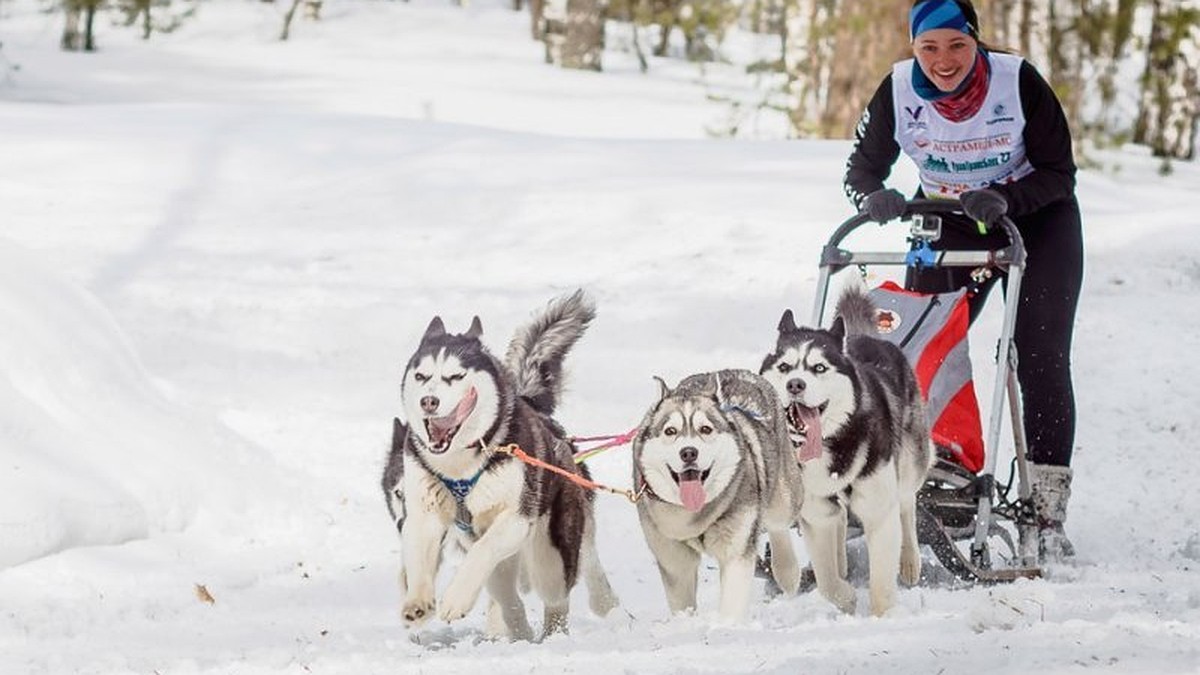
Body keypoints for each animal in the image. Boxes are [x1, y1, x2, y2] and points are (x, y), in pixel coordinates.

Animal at [398, 289, 619, 634]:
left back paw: (553, 634)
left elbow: (482, 551)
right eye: (421, 376)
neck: (461, 464)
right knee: (507, 597)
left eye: (456, 376)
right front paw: (418, 602)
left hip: (550, 556)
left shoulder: (516, 518)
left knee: (556, 596)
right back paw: (518, 630)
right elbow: (419, 556)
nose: (428, 401)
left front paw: (455, 599)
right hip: (505, 565)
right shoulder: (423, 513)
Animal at [633, 367, 801, 619]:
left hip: (784, 499)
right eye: (670, 431)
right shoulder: (672, 556)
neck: (695, 517)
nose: (688, 452)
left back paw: (787, 572)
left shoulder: (737, 548)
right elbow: (682, 597)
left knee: (779, 526)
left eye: (706, 429)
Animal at [758, 285, 936, 612]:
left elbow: (881, 584)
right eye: (785, 367)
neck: (833, 443)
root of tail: (863, 336)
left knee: (907, 503)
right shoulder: (816, 511)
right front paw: (846, 596)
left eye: (819, 368)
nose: (795, 384)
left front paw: (882, 615)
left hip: (909, 463)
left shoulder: (879, 510)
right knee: (838, 522)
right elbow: (827, 581)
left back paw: (909, 559)